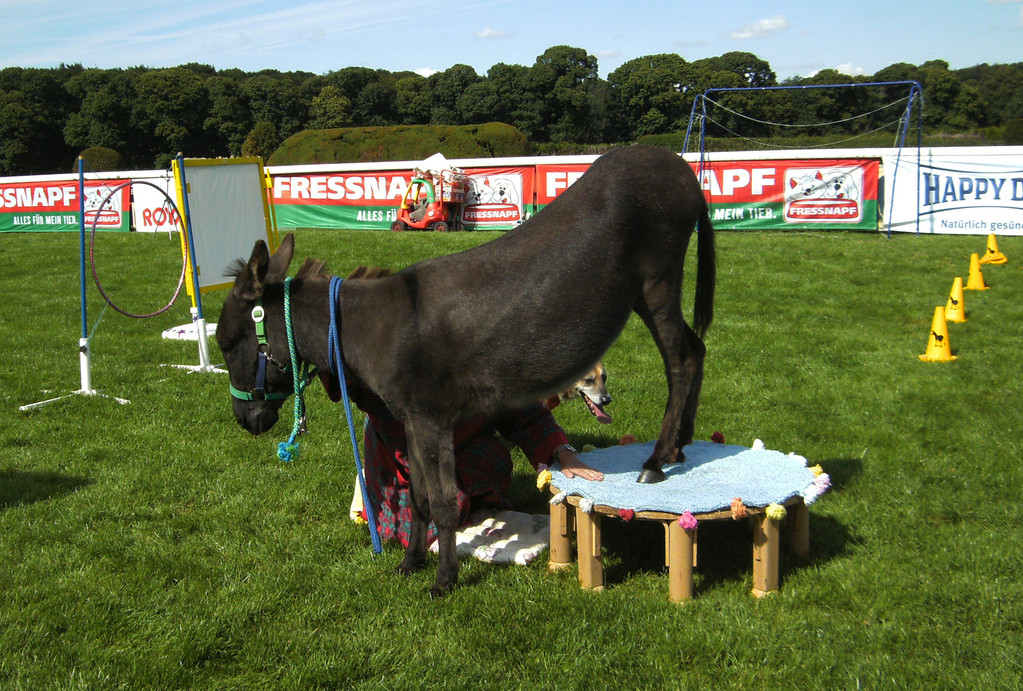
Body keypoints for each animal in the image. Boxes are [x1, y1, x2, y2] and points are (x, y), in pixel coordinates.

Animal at [219, 146, 716, 593]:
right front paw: (411, 563)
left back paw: (656, 461)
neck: (366, 325)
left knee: (682, 361)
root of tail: (680, 168)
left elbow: (441, 501)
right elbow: (419, 497)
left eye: (227, 344)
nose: (245, 421)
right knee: (697, 349)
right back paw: (679, 447)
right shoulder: (411, 421)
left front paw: (444, 579)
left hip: (657, 279)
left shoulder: (431, 418)